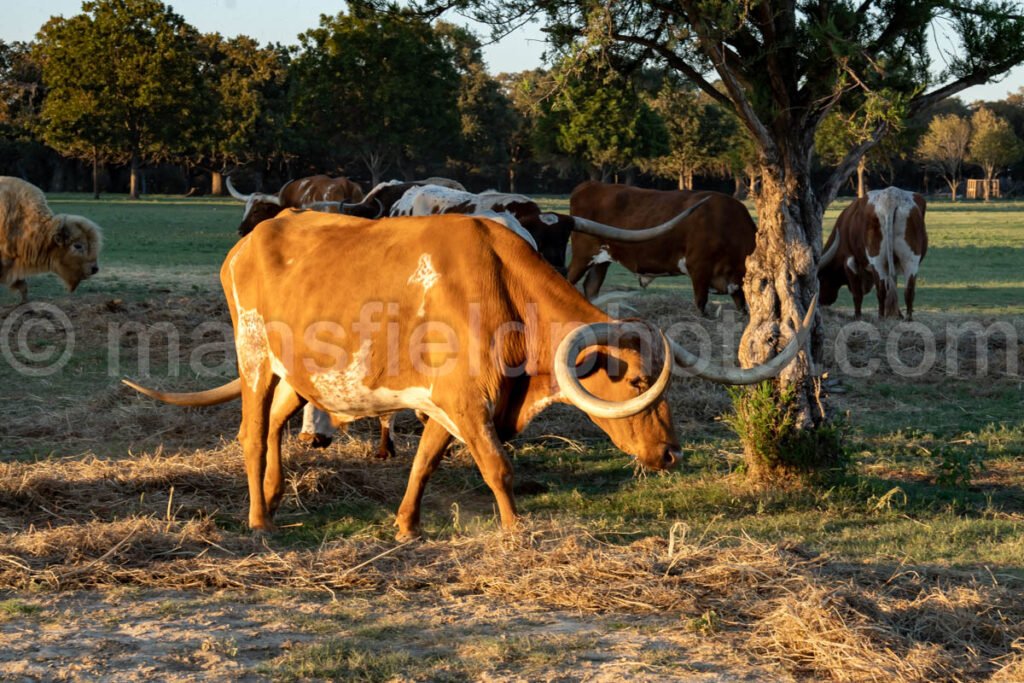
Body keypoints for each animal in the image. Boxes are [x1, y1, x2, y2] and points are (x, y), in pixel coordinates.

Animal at [123, 209, 811, 540]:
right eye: (639, 385)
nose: (671, 455)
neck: (504, 292)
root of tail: (252, 237)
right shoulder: (467, 402)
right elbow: (497, 467)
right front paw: (514, 531)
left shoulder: (449, 405)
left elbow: (426, 463)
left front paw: (406, 526)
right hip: (255, 358)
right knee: (248, 434)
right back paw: (259, 521)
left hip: (298, 377)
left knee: (272, 433)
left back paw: (270, 497)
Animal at [565, 179, 757, 313]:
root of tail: (591, 185)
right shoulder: (699, 269)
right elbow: (701, 304)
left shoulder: (735, 283)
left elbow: (742, 307)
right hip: (582, 255)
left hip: (602, 260)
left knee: (591, 286)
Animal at [815, 187, 929, 321]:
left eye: (820, 280)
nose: (821, 302)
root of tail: (891, 197)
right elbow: (893, 284)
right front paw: (897, 314)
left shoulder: (849, 260)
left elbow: (857, 293)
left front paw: (857, 316)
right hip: (911, 259)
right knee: (908, 290)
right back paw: (908, 319)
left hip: (877, 259)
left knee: (881, 289)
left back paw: (880, 317)